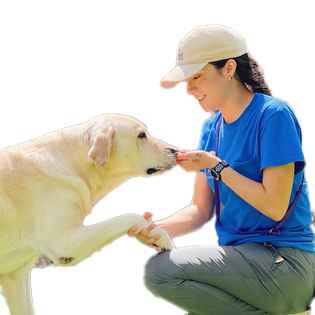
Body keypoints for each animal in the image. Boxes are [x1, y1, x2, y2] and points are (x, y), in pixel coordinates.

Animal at [0, 114, 177, 315]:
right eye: (141, 135)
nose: (175, 150)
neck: (72, 164)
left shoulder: (15, 277)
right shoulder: (65, 243)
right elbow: (130, 217)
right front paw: (161, 237)